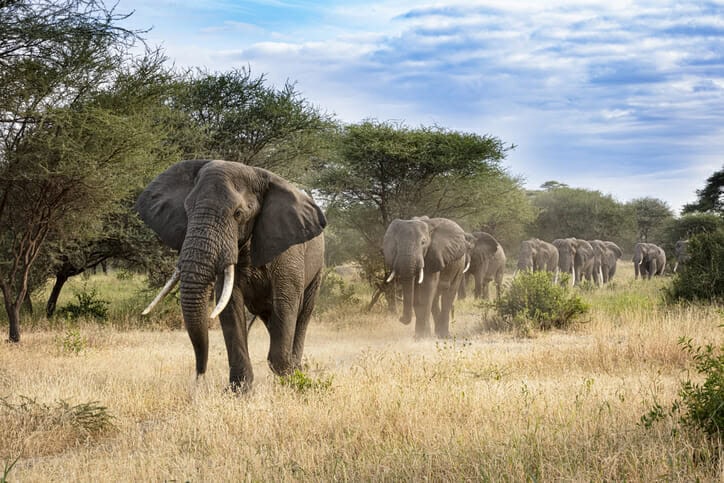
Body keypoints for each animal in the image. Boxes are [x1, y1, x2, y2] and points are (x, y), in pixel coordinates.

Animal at [136, 161, 328, 392]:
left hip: (318, 270)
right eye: (187, 210)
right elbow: (229, 305)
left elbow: (285, 302)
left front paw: (288, 384)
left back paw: (296, 372)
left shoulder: (288, 253)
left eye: (238, 213)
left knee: (302, 316)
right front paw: (238, 392)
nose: (199, 376)